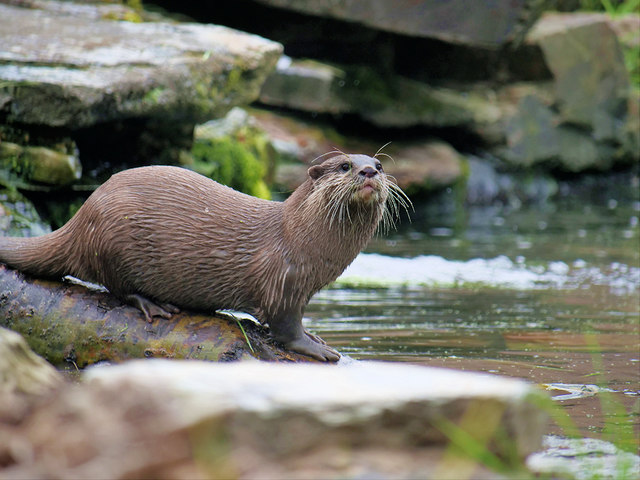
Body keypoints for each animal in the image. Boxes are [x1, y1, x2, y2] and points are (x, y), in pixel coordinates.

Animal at [0, 154, 408, 360]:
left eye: (380, 165)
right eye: (344, 166)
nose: (368, 170)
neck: (301, 239)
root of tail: (81, 216)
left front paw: (316, 336)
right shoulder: (283, 279)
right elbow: (285, 326)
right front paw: (316, 348)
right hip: (111, 236)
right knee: (116, 287)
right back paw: (153, 304)